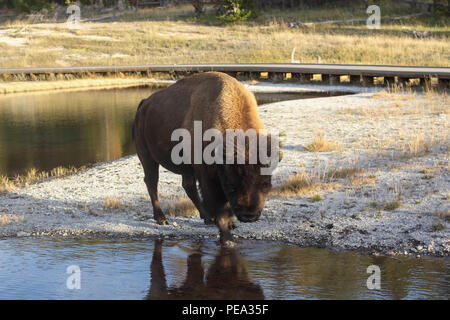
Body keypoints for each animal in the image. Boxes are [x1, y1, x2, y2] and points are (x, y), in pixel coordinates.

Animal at [132, 72, 280, 245]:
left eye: (266, 183)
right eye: (231, 185)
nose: (249, 216)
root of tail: (144, 105)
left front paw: (231, 224)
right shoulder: (208, 177)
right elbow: (220, 206)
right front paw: (227, 238)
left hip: (185, 167)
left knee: (188, 186)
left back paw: (207, 217)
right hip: (147, 157)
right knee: (152, 182)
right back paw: (162, 219)